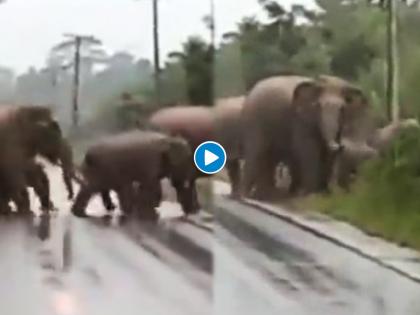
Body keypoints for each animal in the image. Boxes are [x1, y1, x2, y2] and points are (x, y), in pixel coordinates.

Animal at [241, 74, 370, 199]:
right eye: (318, 106)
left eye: (342, 109)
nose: (341, 146)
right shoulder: (301, 120)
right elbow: (308, 150)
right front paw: (311, 195)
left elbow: (327, 155)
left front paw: (324, 195)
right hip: (254, 121)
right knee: (257, 153)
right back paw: (248, 196)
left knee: (269, 157)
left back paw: (266, 195)